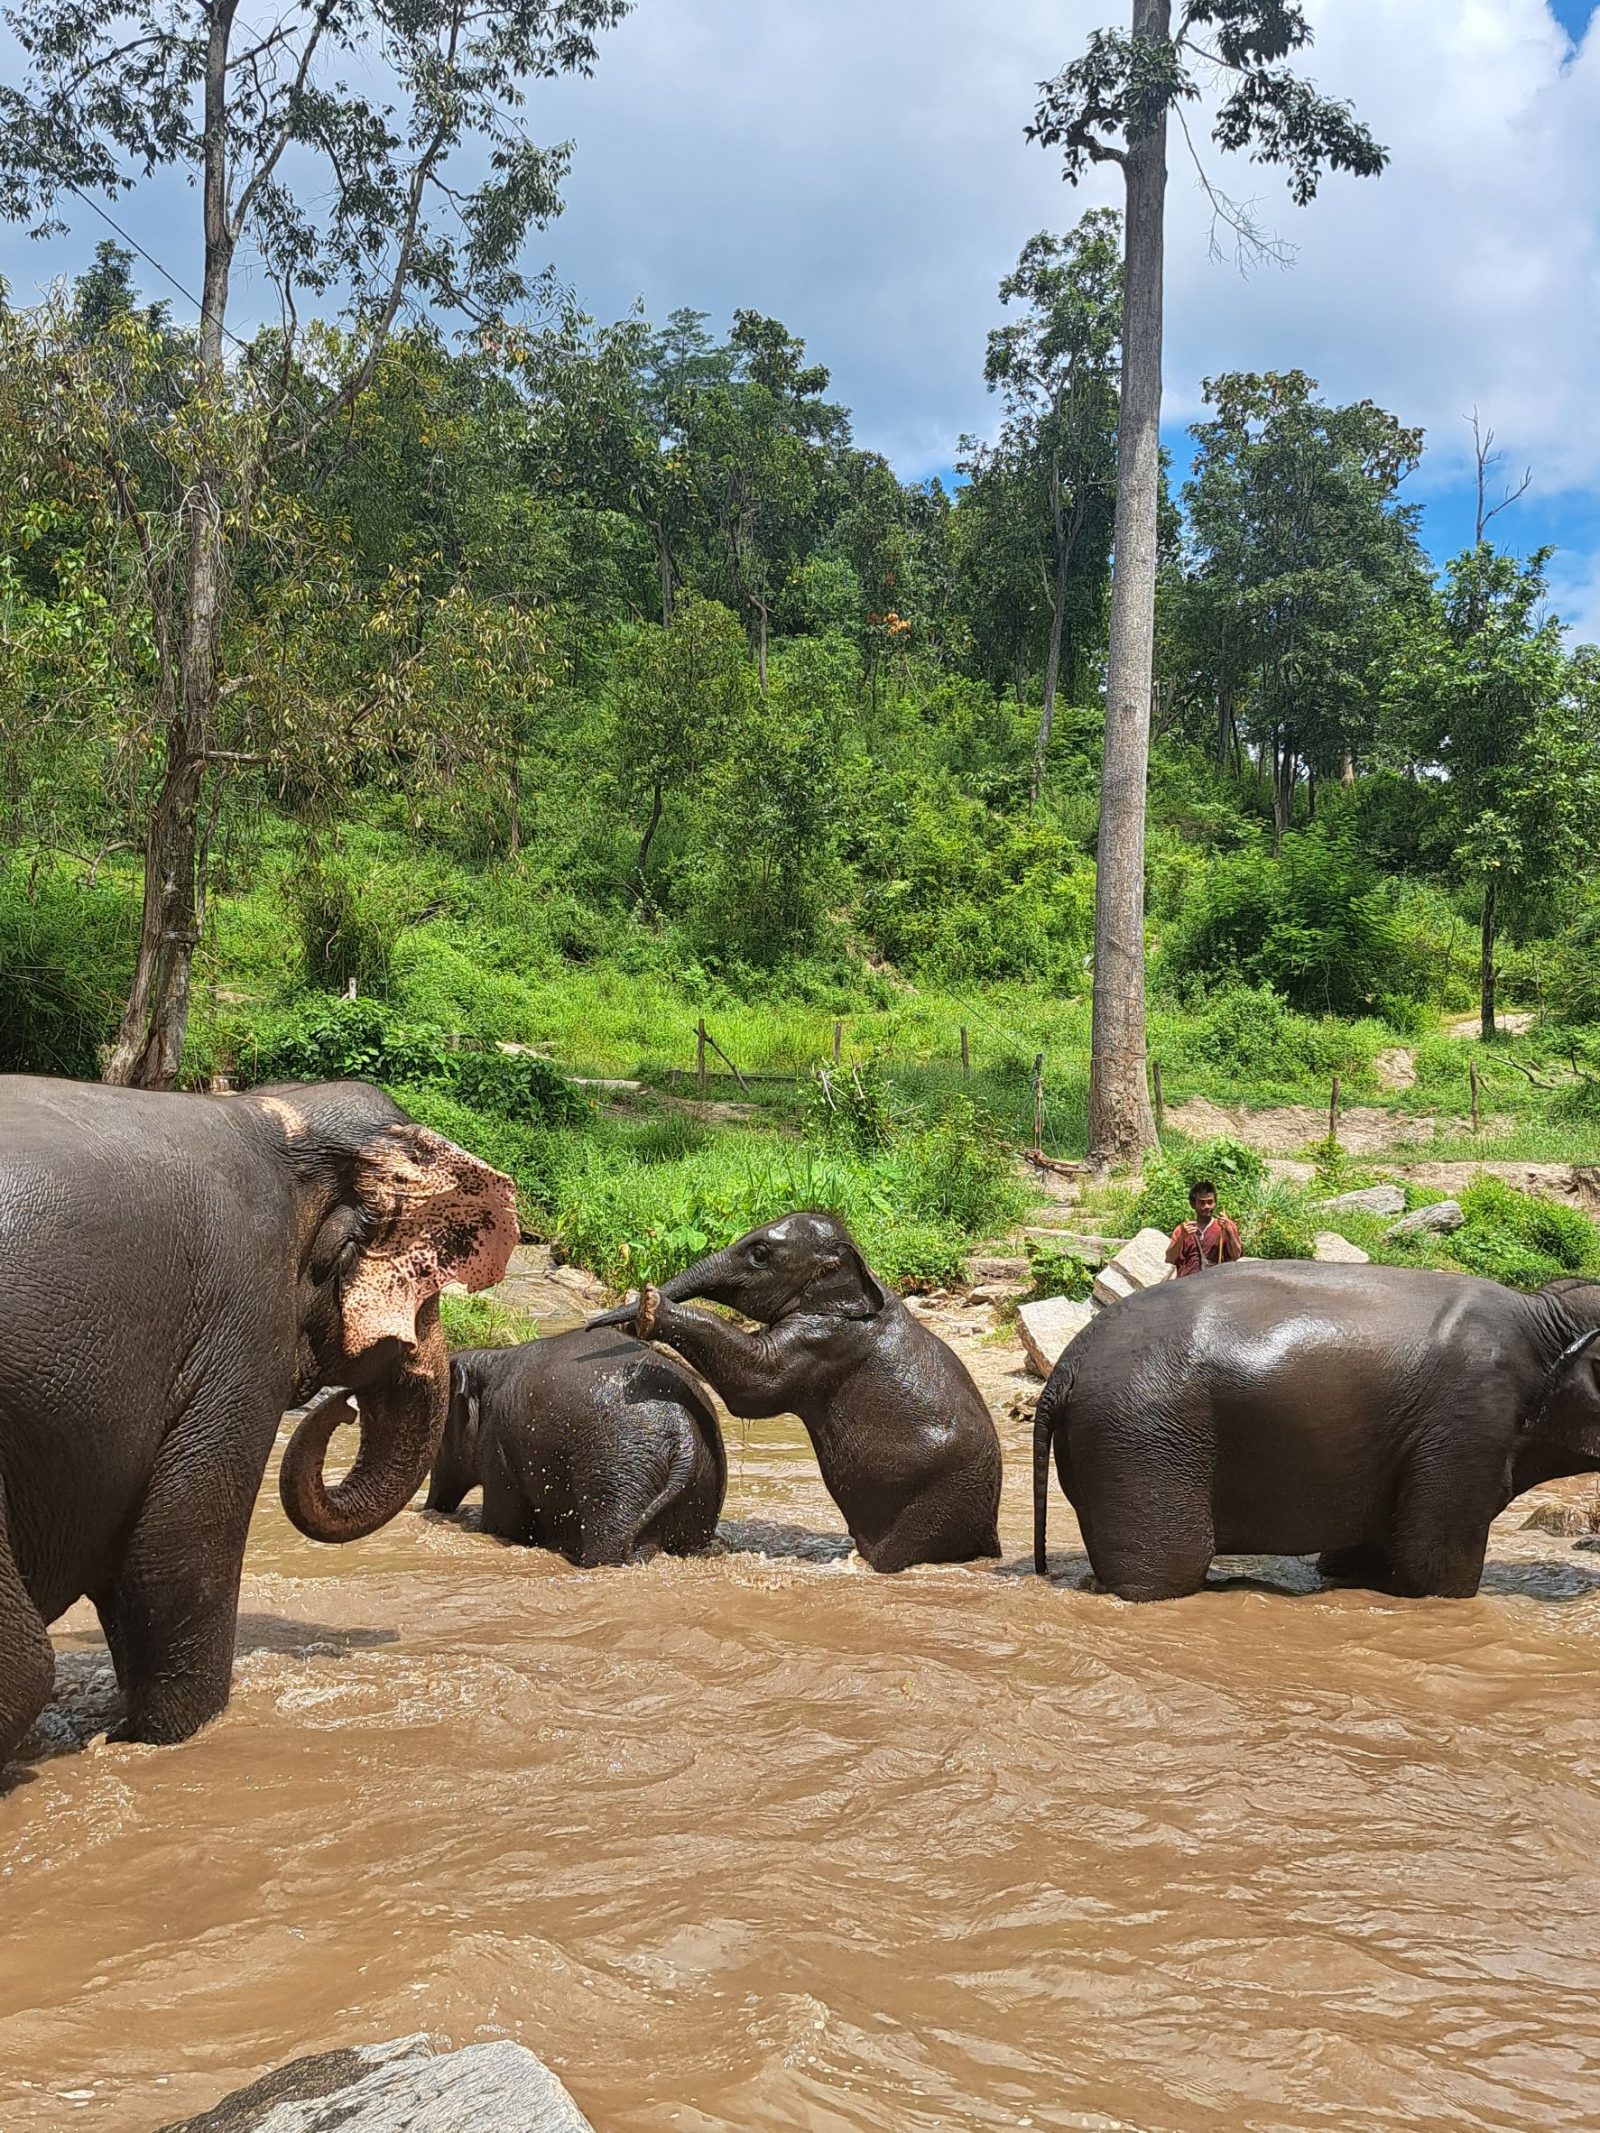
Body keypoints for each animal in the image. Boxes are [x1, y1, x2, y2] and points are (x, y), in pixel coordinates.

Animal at [0, 1073, 517, 1766]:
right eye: (425, 1289)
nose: (343, 1407)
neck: (271, 1115)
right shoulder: (240, 1333)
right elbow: (174, 1560)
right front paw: (158, 1742)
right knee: (24, 1669)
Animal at [426, 1328, 726, 1565]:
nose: (428, 1510)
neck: (490, 1358)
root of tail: (685, 1437)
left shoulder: (498, 1445)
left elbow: (506, 1525)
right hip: (700, 1488)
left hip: (621, 1477)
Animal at [590, 1210, 1002, 1572]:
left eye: (759, 1255)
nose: (593, 1325)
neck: (860, 1269)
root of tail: (990, 1533)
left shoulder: (826, 1340)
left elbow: (755, 1384)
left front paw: (650, 1307)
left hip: (937, 1500)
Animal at [1032, 1262, 1600, 1601]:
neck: (1546, 1313)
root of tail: (1065, 1366)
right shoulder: (1471, 1421)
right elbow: (1434, 1569)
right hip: (1143, 1439)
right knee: (1165, 1572)